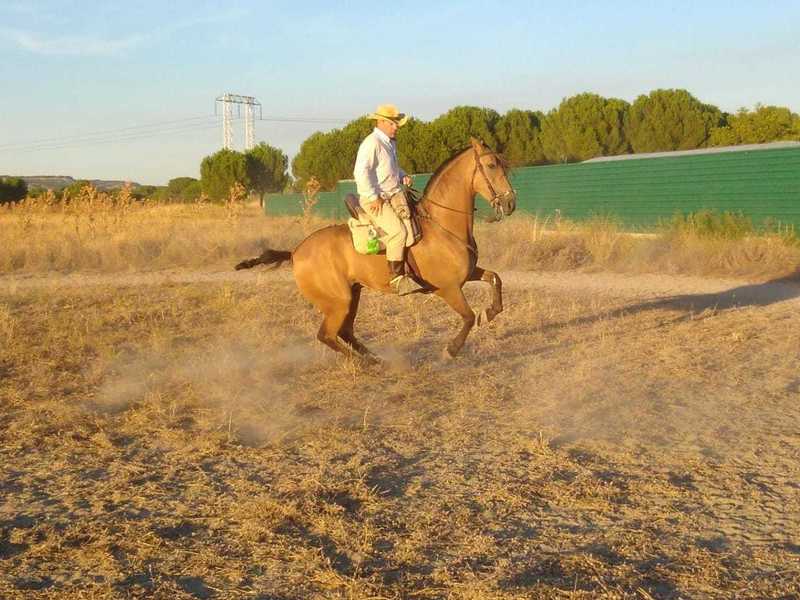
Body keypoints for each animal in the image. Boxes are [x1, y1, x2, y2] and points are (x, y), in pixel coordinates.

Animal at [235, 137, 516, 361]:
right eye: (492, 165)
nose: (511, 203)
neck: (441, 226)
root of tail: (295, 252)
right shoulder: (447, 289)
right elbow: (468, 317)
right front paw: (451, 349)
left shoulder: (468, 274)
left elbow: (496, 279)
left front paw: (490, 313)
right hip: (339, 302)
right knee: (327, 335)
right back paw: (365, 362)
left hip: (353, 294)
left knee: (345, 332)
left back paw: (373, 358)